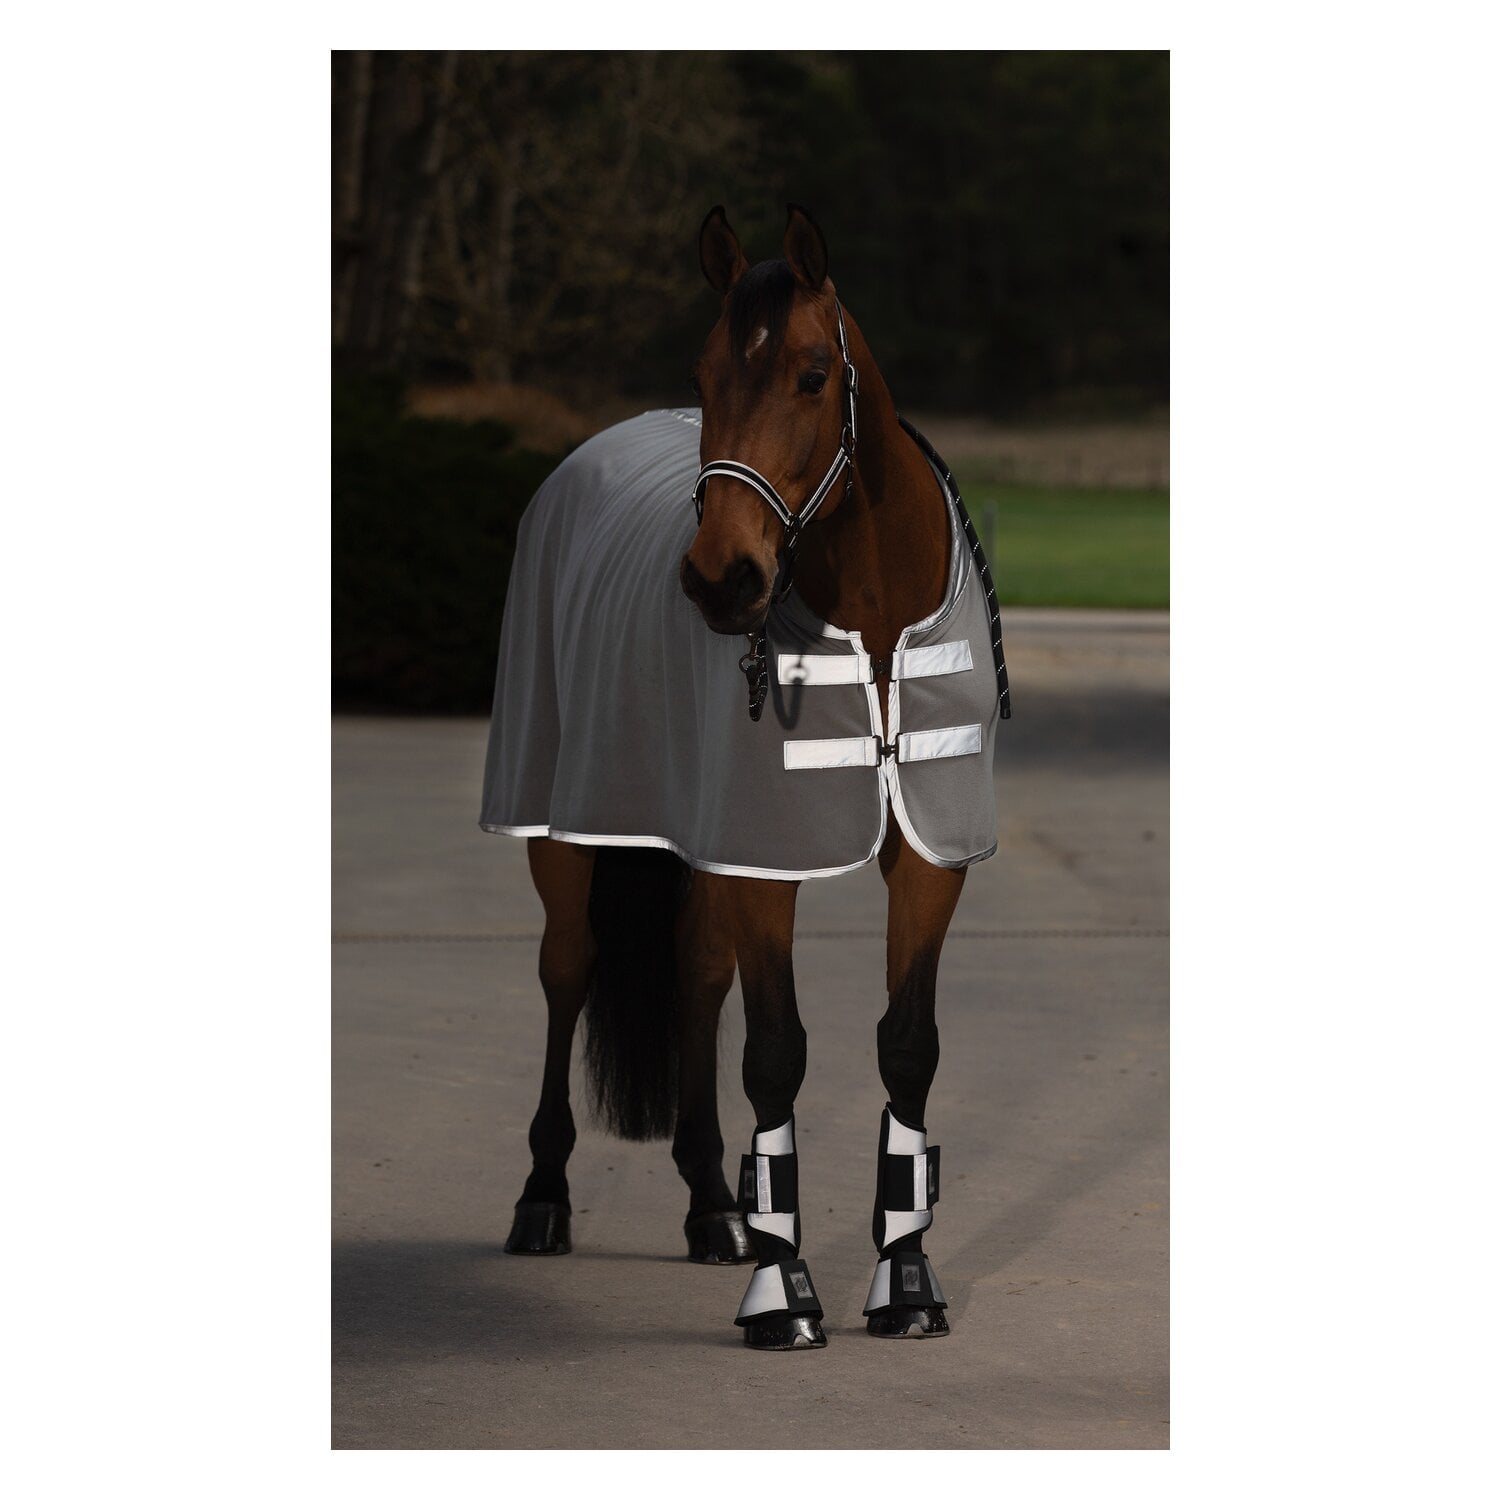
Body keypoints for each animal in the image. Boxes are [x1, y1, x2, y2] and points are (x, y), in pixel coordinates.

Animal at [480, 205, 1009, 1349]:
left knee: (693, 976)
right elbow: (775, 1053)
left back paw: (713, 1207)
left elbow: (907, 1048)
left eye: (813, 374)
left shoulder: (929, 857)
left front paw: (906, 1285)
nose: (723, 579)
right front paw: (784, 1295)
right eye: (706, 369)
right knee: (567, 970)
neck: (874, 624)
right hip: (563, 830)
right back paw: (543, 1199)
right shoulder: (763, 856)